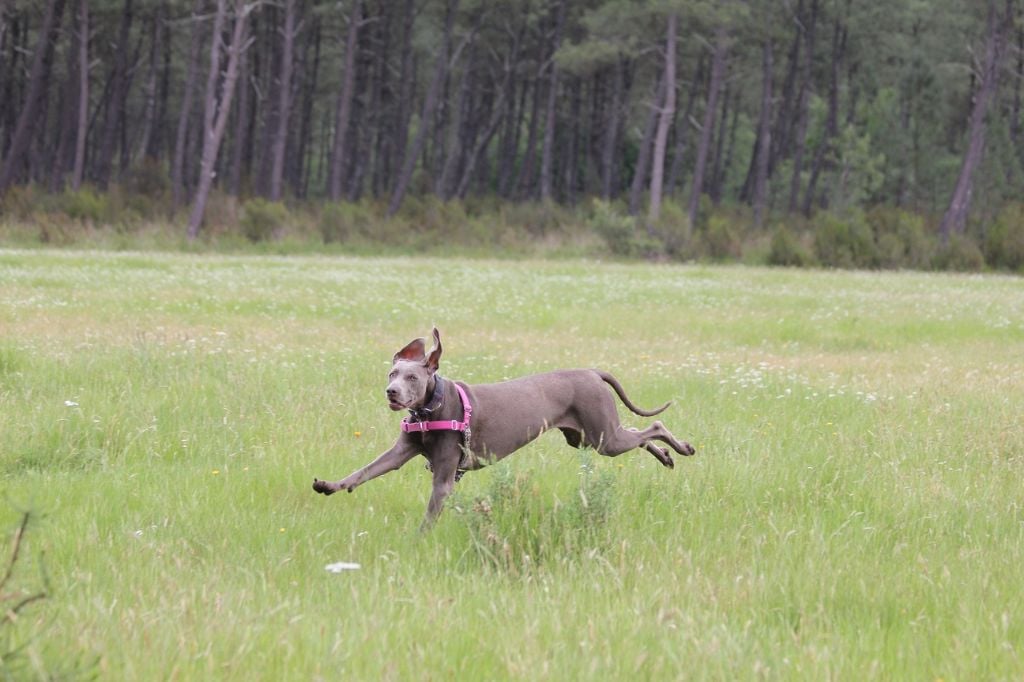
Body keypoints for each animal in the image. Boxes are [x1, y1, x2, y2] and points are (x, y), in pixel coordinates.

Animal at [311, 327, 696, 522]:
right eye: (392, 373)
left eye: (412, 378)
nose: (391, 392)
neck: (432, 408)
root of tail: (592, 371)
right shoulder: (401, 450)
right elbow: (364, 471)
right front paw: (329, 485)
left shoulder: (445, 476)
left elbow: (431, 513)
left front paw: (420, 541)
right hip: (590, 436)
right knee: (637, 434)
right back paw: (666, 456)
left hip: (602, 436)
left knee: (654, 426)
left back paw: (679, 448)